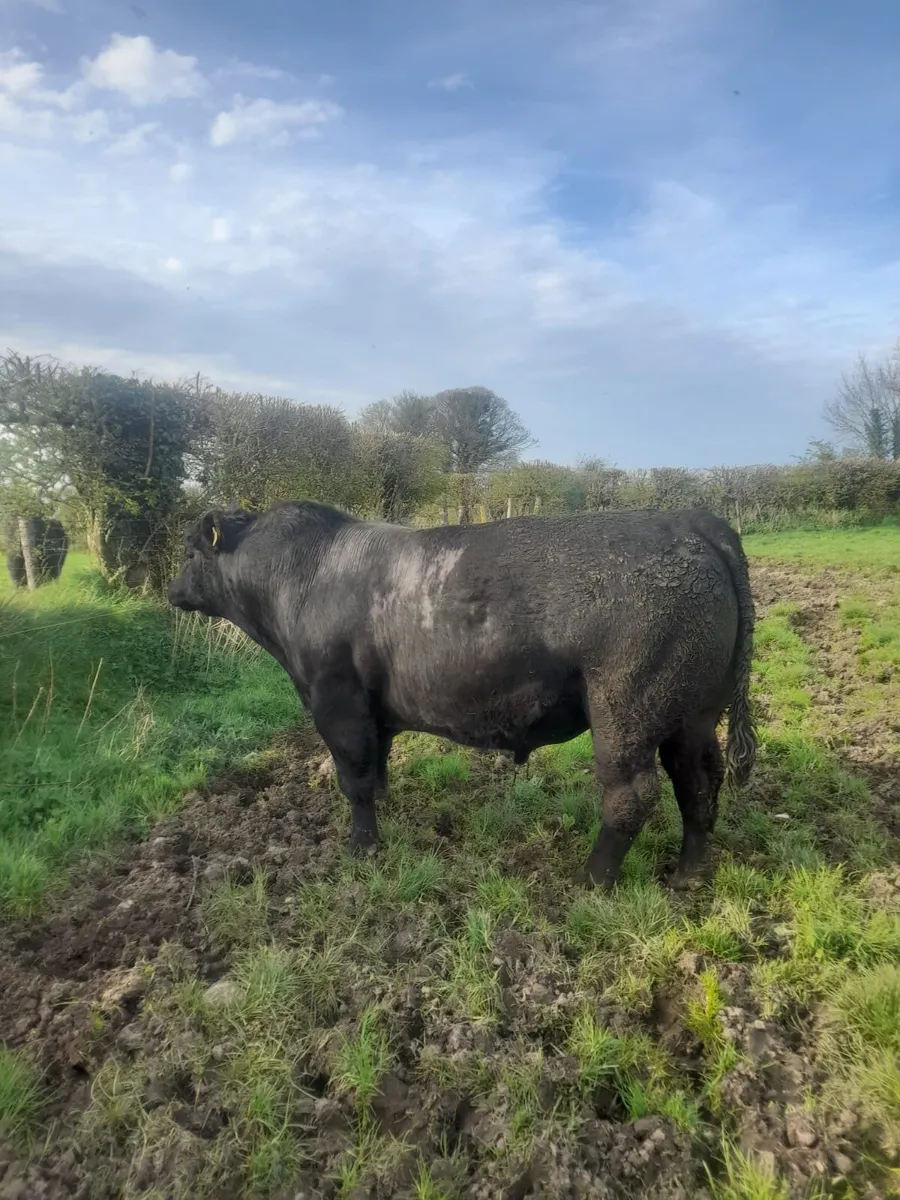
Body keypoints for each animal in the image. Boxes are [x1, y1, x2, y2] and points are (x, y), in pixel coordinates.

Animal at [167, 501, 756, 889]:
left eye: (190, 550)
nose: (171, 591)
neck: (304, 574)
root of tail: (689, 519)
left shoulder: (336, 698)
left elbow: (353, 777)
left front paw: (362, 847)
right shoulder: (375, 710)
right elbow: (377, 768)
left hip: (626, 710)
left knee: (631, 796)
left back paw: (591, 881)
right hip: (692, 714)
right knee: (698, 783)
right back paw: (688, 875)